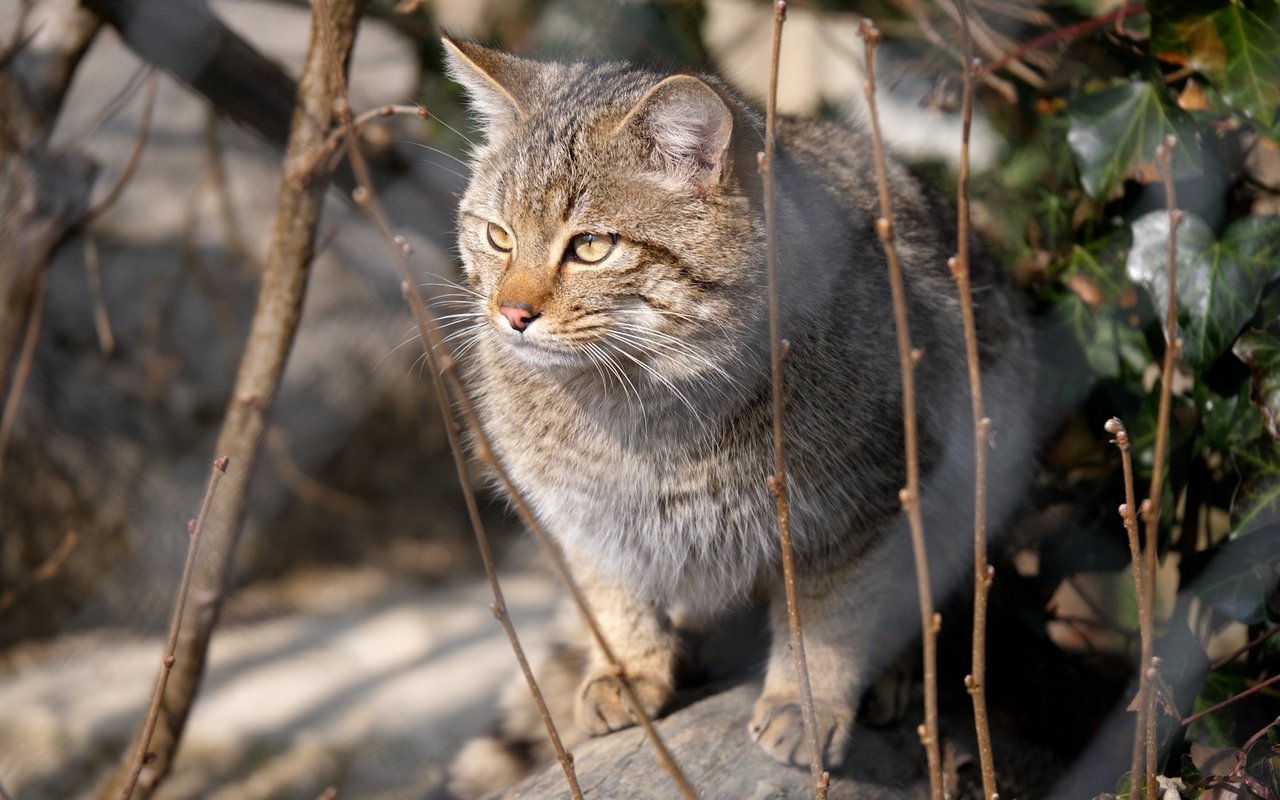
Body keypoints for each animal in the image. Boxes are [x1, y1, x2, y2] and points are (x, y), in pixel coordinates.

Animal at [445, 34, 1034, 793]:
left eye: (592, 247)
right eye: (496, 236)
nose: (511, 313)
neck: (636, 405)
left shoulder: (863, 508)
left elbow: (831, 619)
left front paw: (807, 702)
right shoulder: (588, 521)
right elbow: (614, 599)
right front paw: (630, 668)